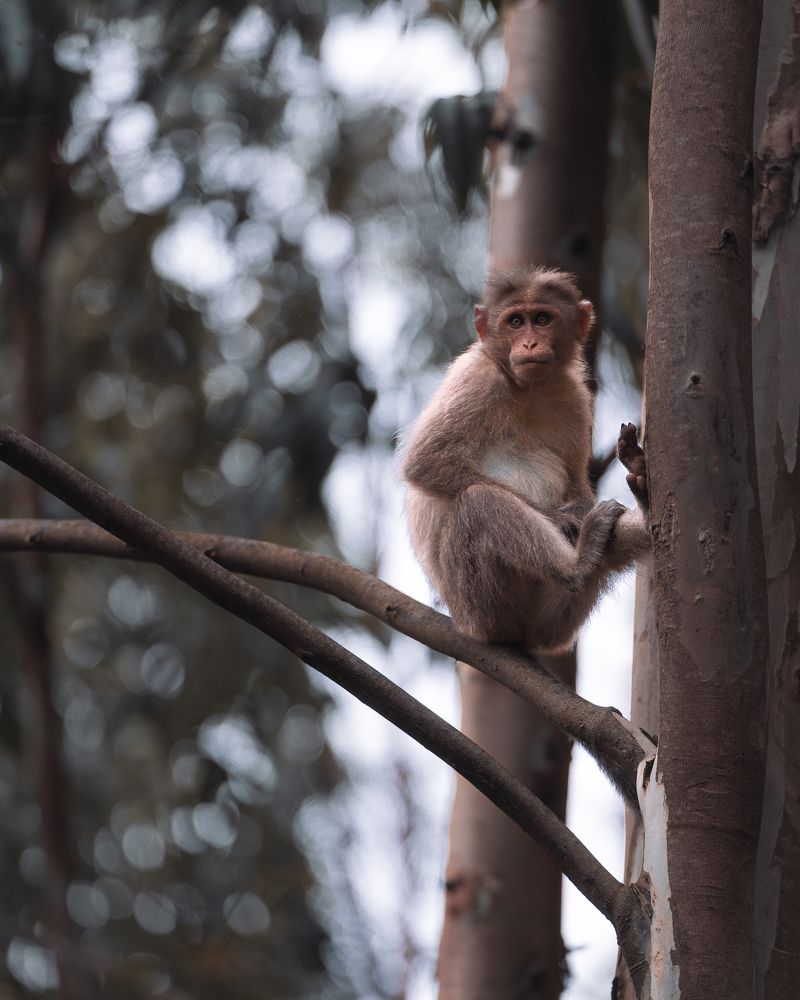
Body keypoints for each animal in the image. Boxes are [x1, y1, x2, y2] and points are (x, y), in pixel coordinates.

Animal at [401, 265, 651, 654]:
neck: (526, 386)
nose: (530, 344)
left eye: (542, 319)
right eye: (516, 321)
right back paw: (577, 563)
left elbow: (578, 484)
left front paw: (579, 507)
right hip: (479, 609)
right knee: (478, 501)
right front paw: (560, 519)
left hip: (551, 621)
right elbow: (426, 463)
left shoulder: (574, 396)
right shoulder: (476, 377)